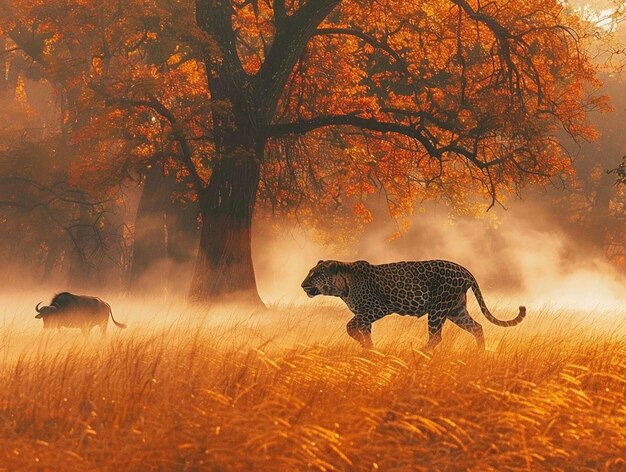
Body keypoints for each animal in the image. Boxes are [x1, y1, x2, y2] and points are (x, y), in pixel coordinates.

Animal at [300, 260, 524, 352]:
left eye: (316, 274)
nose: (302, 285)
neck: (342, 286)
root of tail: (465, 270)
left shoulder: (376, 308)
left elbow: (350, 325)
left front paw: (364, 345)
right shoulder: (365, 315)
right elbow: (363, 331)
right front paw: (367, 348)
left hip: (438, 309)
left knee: (436, 337)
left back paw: (418, 351)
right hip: (456, 310)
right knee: (477, 327)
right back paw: (479, 354)